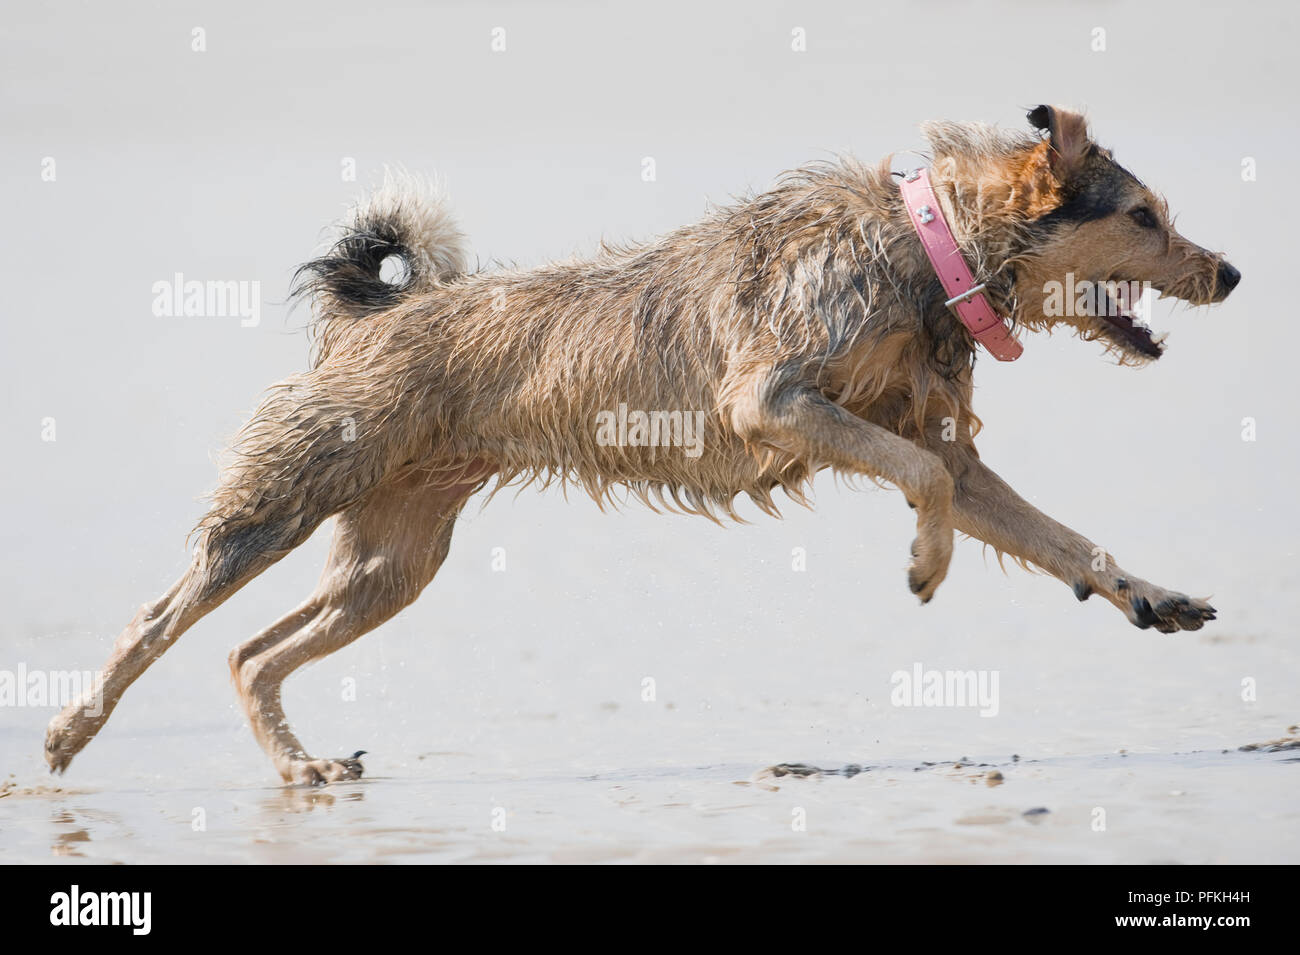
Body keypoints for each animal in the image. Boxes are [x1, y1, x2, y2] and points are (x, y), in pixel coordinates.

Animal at [45, 108, 1237, 789]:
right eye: (1142, 214)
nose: (1230, 271)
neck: (927, 244)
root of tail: (371, 315)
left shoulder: (942, 446)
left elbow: (1046, 527)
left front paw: (1147, 592)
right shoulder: (771, 398)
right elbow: (924, 476)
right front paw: (925, 558)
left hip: (393, 565)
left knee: (251, 655)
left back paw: (301, 767)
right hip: (278, 504)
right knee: (158, 621)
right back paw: (68, 733)